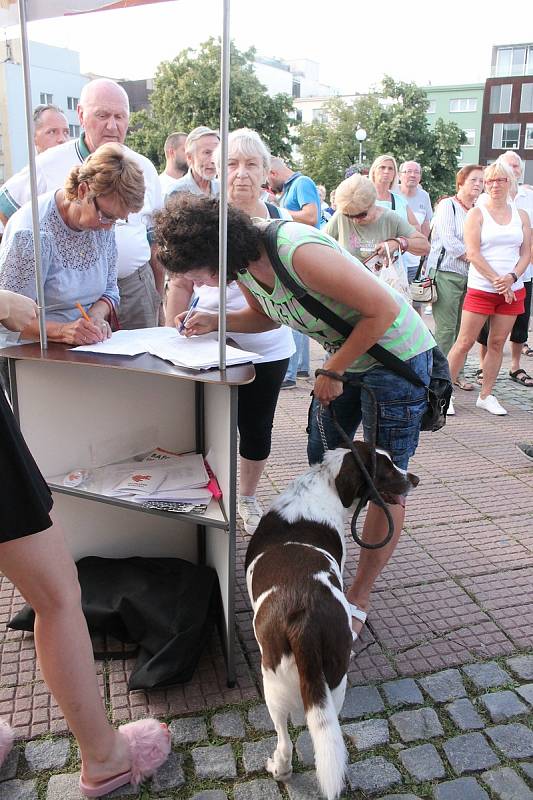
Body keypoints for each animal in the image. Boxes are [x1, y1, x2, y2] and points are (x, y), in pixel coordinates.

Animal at [245, 444, 420, 800]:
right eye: (386, 468)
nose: (415, 479)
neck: (324, 483)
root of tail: (305, 617)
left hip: (273, 684)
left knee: (287, 742)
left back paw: (279, 769)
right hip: (334, 681)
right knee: (318, 740)